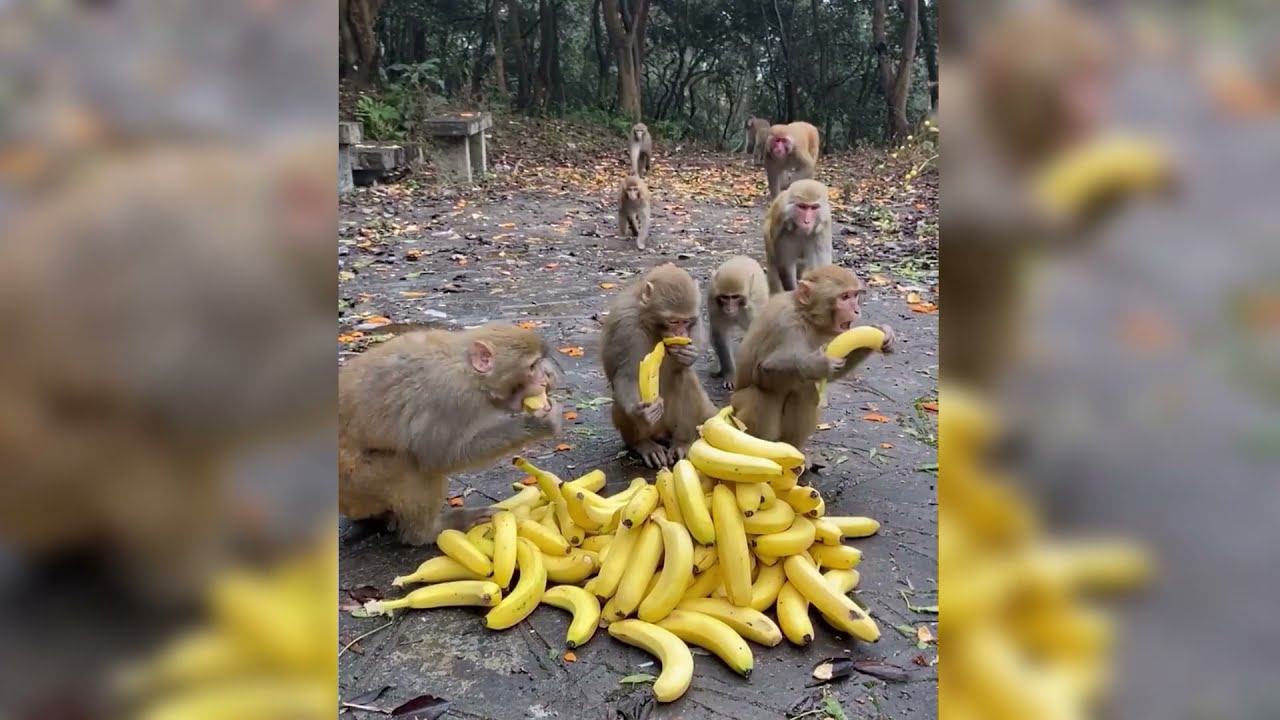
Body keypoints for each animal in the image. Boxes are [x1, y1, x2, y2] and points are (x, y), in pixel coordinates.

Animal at [338, 324, 564, 546]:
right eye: (531, 367)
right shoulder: (449, 397)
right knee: (412, 466)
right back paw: (427, 532)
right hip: (360, 481)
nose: (543, 379)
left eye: (538, 364)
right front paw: (540, 424)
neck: (469, 370)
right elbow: (440, 458)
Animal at [601, 263, 716, 468]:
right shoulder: (625, 325)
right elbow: (626, 375)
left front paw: (690, 354)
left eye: (686, 321)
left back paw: (682, 442)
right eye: (673, 321)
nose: (680, 332)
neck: (650, 324)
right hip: (651, 427)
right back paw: (642, 444)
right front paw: (640, 412)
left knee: (685, 375)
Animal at [707, 255, 769, 390]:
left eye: (735, 297)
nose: (729, 309)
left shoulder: (753, 310)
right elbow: (720, 336)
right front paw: (730, 375)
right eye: (724, 297)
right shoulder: (713, 303)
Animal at [731, 265, 895, 450]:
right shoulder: (786, 324)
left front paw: (884, 332)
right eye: (844, 297)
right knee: (765, 394)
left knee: (805, 391)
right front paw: (818, 364)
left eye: (855, 295)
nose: (856, 310)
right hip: (736, 407)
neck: (805, 316)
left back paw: (791, 448)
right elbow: (761, 372)